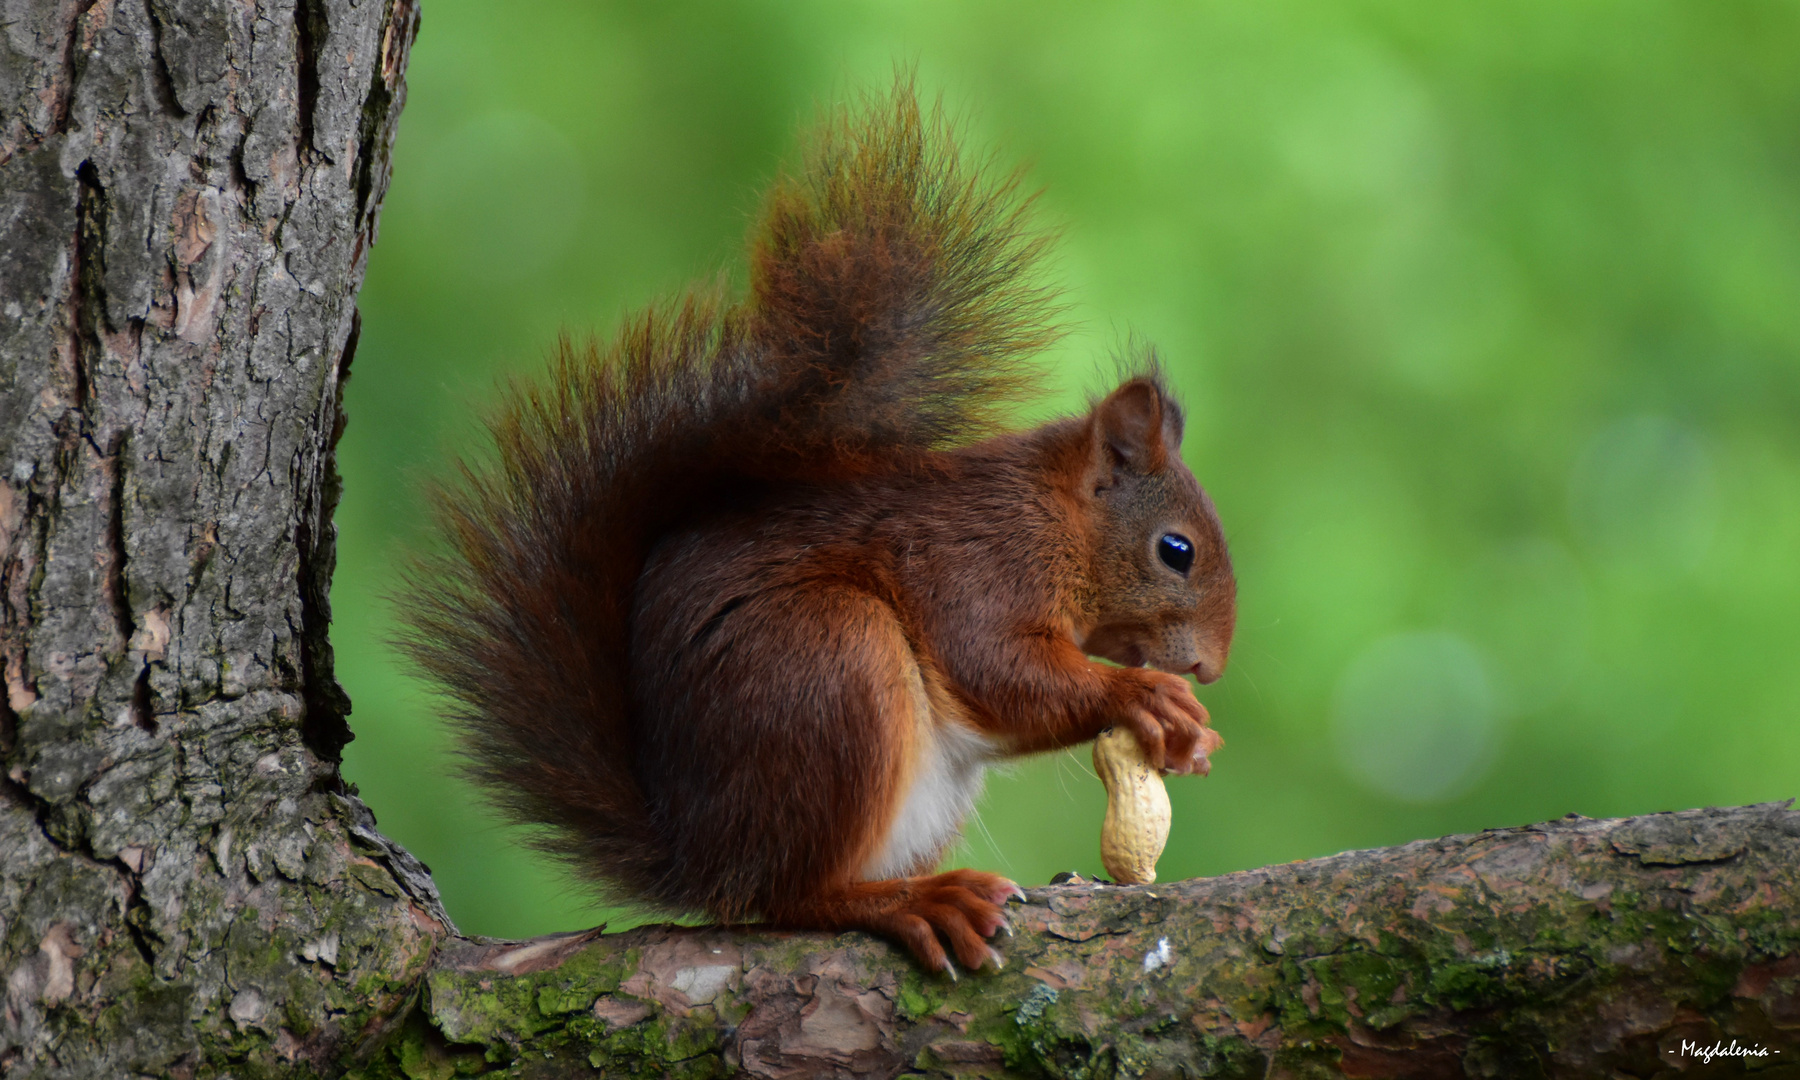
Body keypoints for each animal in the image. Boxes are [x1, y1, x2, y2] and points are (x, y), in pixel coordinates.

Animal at [397, 88, 1238, 972]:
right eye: (1175, 551)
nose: (1211, 667)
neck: (1056, 521)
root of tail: (700, 857)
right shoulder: (977, 563)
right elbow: (997, 670)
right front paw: (1146, 696)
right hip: (827, 659)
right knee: (791, 898)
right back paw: (915, 904)